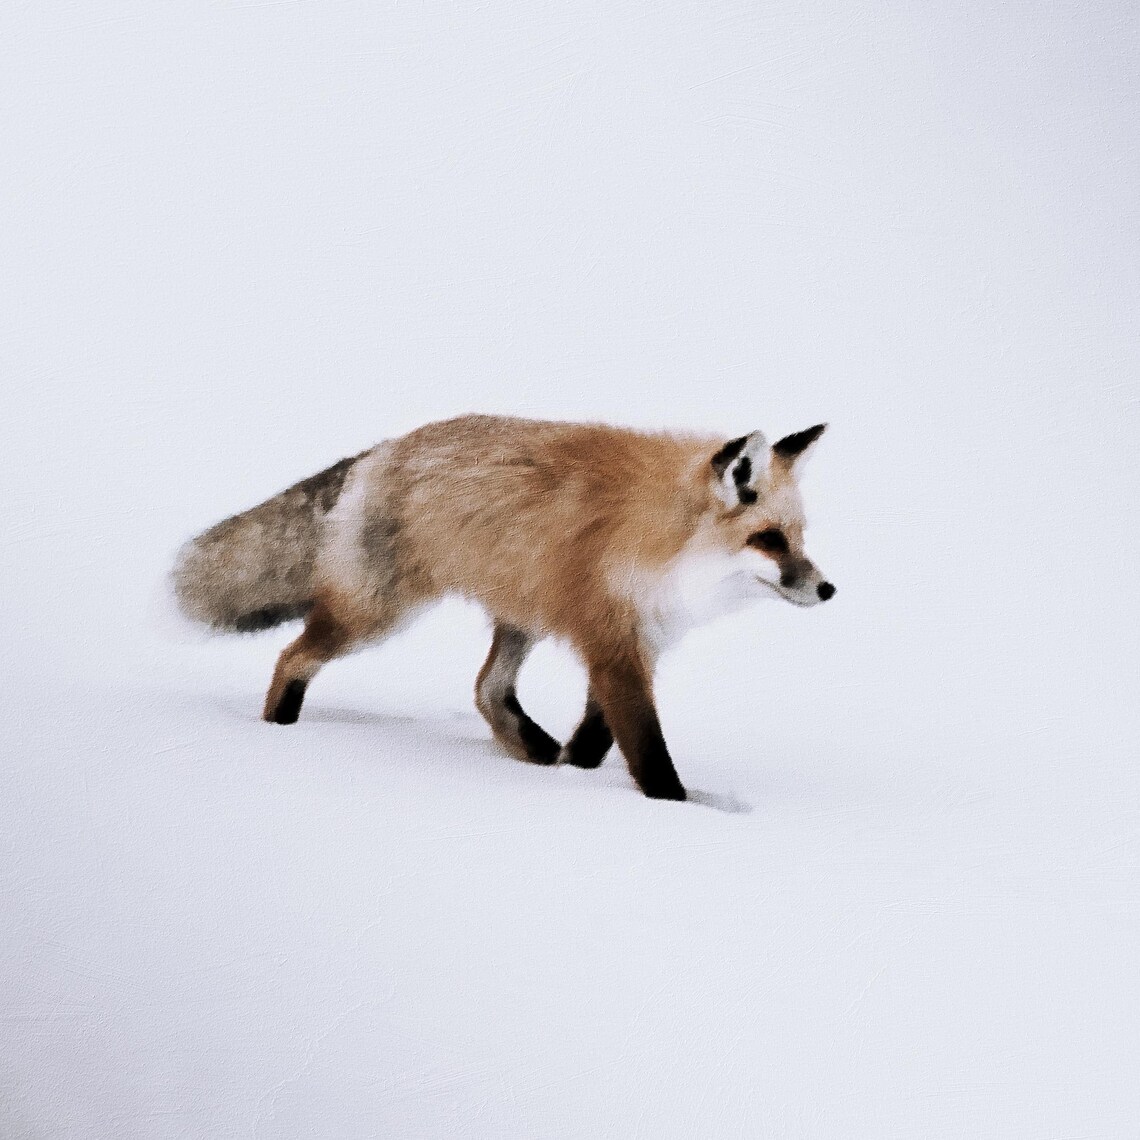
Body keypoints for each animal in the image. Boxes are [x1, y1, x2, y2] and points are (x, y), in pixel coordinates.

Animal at [172, 414, 835, 801]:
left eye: (800, 537)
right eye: (769, 540)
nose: (827, 590)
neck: (663, 546)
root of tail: (384, 448)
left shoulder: (632, 641)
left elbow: (598, 735)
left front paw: (572, 771)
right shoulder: (613, 641)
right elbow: (646, 747)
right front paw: (674, 808)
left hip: (523, 614)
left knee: (486, 688)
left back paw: (534, 750)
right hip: (375, 615)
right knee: (292, 655)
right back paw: (278, 732)